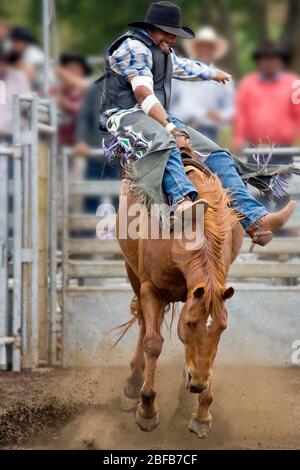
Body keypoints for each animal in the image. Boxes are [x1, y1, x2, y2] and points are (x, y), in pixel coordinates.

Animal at [115, 163, 244, 438]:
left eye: (223, 328)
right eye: (190, 324)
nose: (198, 383)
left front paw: (202, 413)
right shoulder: (151, 289)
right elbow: (153, 343)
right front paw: (147, 409)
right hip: (133, 273)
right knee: (143, 325)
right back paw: (133, 385)